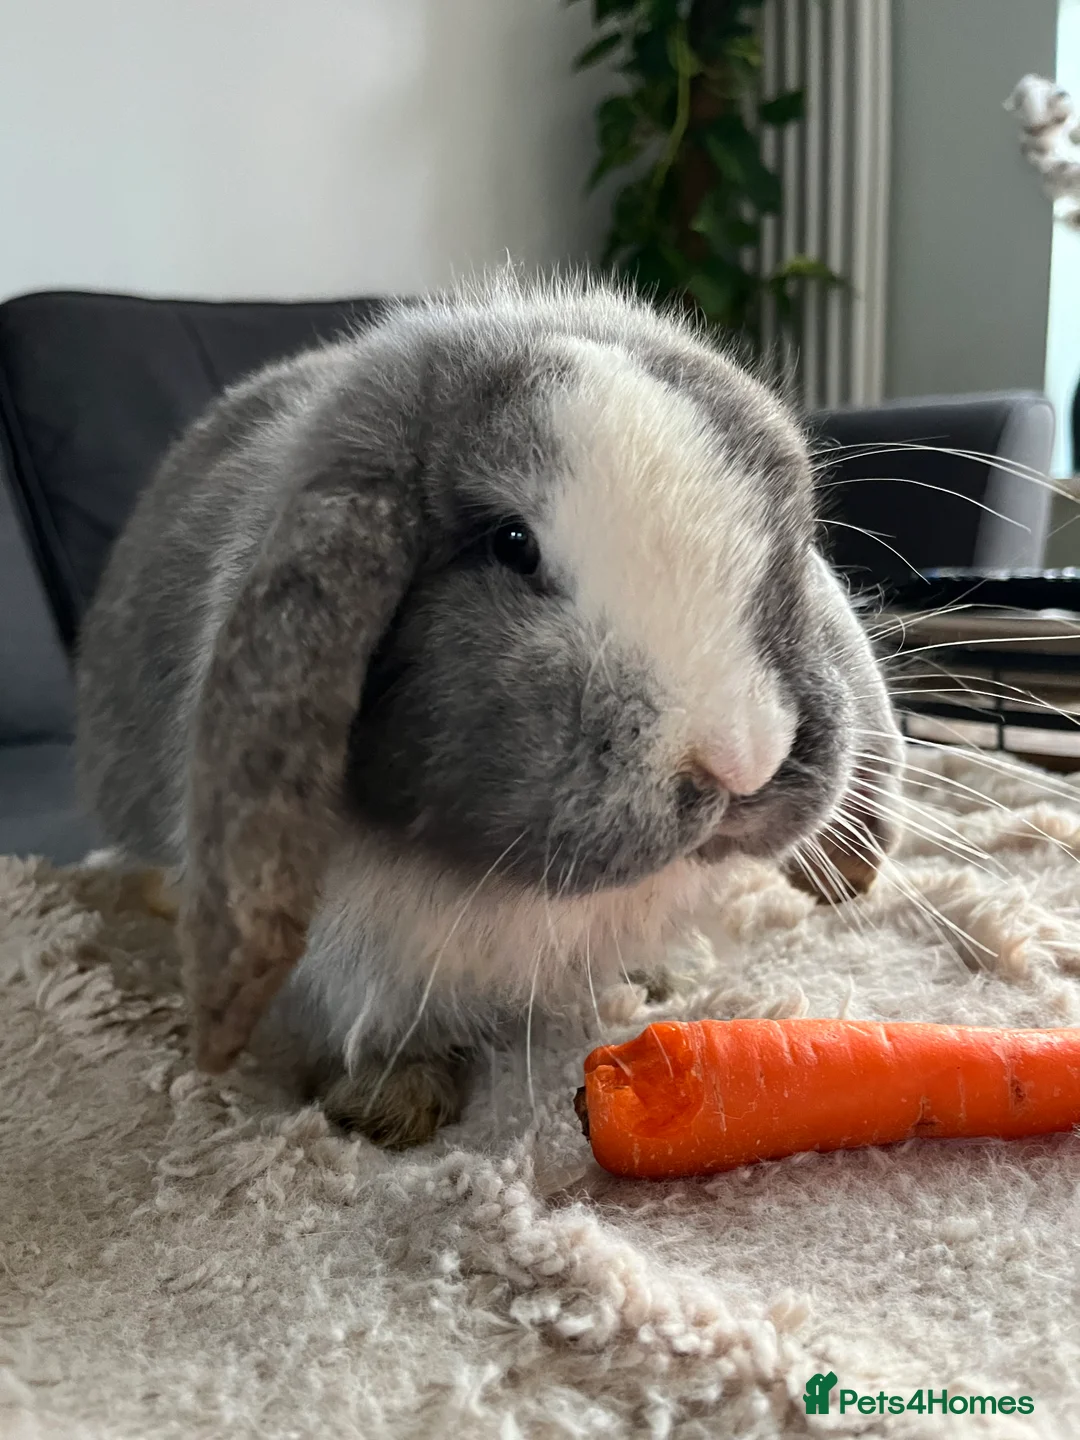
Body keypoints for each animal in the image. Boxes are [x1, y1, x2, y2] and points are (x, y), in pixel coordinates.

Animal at [76, 272, 904, 1148]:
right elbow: (373, 1018)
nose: (742, 759)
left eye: (793, 537)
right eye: (511, 545)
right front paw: (389, 1107)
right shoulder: (354, 954)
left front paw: (661, 974)